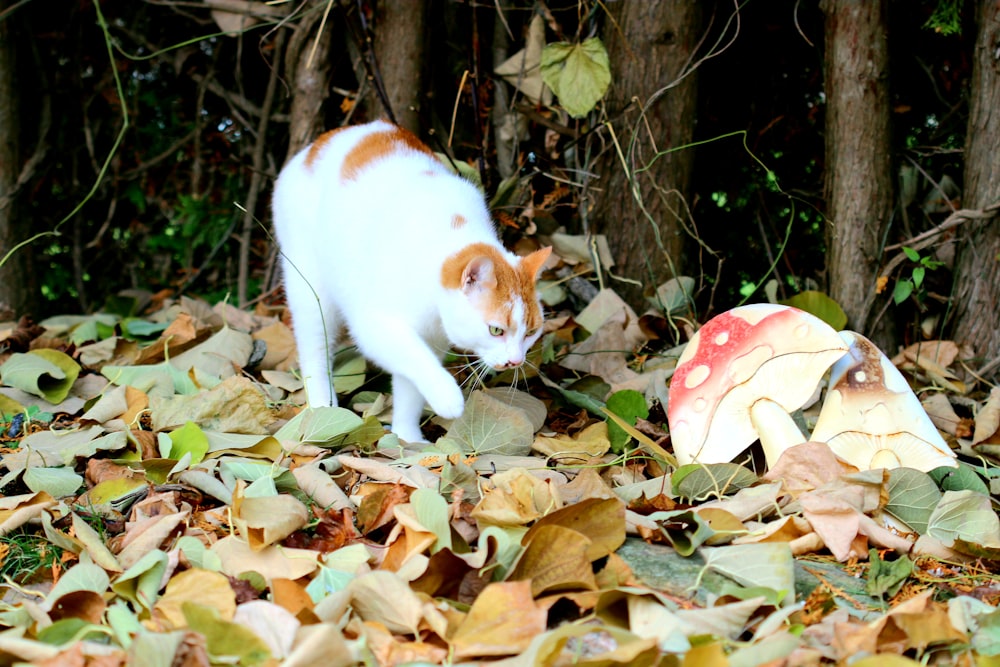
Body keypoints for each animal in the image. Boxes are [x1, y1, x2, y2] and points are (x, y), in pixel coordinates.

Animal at [270, 120, 552, 444]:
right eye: (496, 330)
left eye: (530, 332)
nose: (515, 361)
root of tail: (318, 144)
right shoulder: (375, 325)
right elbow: (416, 357)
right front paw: (447, 396)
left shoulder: (433, 337)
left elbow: (410, 388)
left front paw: (407, 438)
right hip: (310, 287)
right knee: (315, 347)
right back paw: (320, 406)